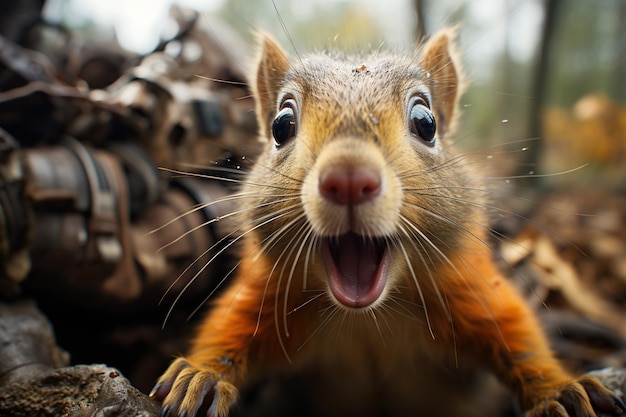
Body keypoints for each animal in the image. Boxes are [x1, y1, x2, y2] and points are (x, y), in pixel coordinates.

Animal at [150, 29, 624, 416]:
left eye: (426, 123)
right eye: (281, 125)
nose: (348, 178)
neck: (369, 317)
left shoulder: (471, 289)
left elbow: (517, 336)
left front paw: (561, 390)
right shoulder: (266, 293)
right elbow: (227, 329)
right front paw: (200, 377)